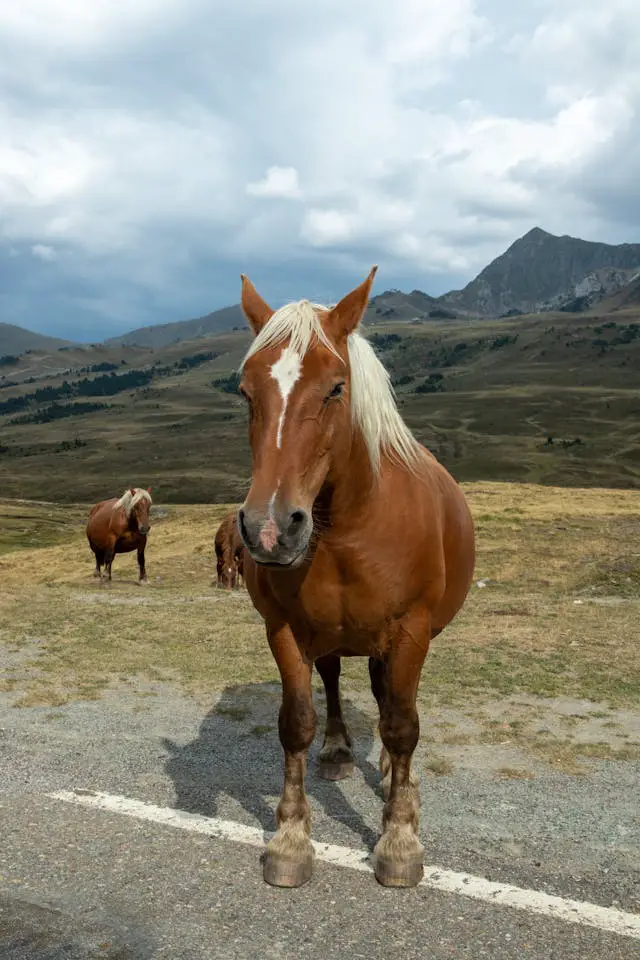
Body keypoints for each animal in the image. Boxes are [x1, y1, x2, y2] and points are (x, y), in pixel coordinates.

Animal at [235, 266, 476, 888]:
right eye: (246, 392)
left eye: (336, 388)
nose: (269, 529)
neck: (350, 526)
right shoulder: (284, 629)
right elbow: (295, 723)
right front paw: (290, 840)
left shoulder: (411, 630)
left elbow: (403, 724)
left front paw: (399, 838)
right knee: (339, 682)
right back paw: (339, 750)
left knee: (390, 701)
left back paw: (391, 770)